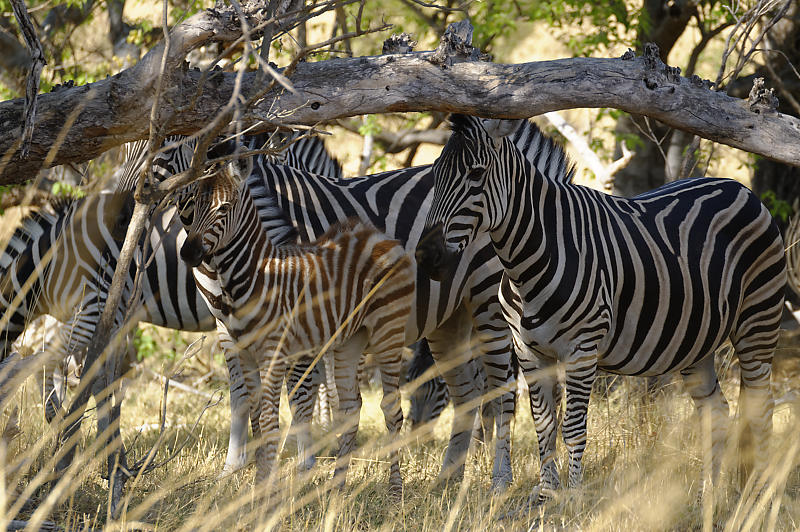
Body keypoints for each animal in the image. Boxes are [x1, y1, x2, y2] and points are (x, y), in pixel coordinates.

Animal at [179, 154, 416, 494]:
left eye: (223, 209)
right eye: (193, 205)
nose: (187, 253)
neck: (254, 275)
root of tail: (378, 235)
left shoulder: (274, 352)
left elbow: (268, 420)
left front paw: (264, 491)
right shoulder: (244, 351)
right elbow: (255, 415)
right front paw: (258, 486)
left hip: (388, 331)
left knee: (392, 408)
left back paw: (395, 493)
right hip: (350, 340)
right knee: (350, 406)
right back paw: (336, 489)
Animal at [416, 114, 784, 500]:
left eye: (476, 173)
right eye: (435, 174)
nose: (426, 257)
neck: (530, 259)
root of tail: (740, 189)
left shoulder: (582, 349)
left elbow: (573, 428)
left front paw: (573, 500)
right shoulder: (529, 351)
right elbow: (544, 424)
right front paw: (546, 495)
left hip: (758, 321)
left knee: (761, 408)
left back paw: (758, 496)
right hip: (696, 341)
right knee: (717, 412)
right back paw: (706, 498)